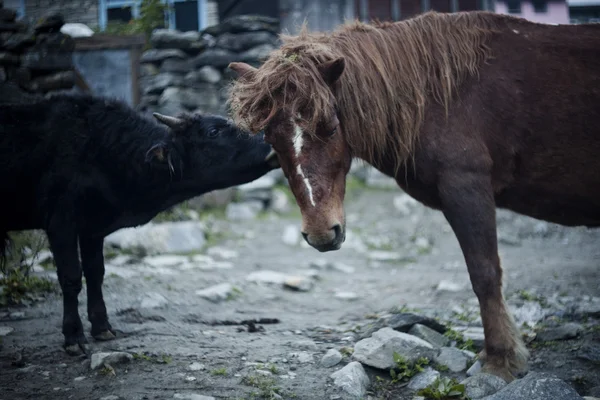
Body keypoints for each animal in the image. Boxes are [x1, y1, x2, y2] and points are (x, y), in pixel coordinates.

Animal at [226, 10, 600, 382]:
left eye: (331, 126)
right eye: (271, 140)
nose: (321, 233)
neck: (440, 98)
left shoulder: (467, 187)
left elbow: (484, 273)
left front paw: (501, 359)